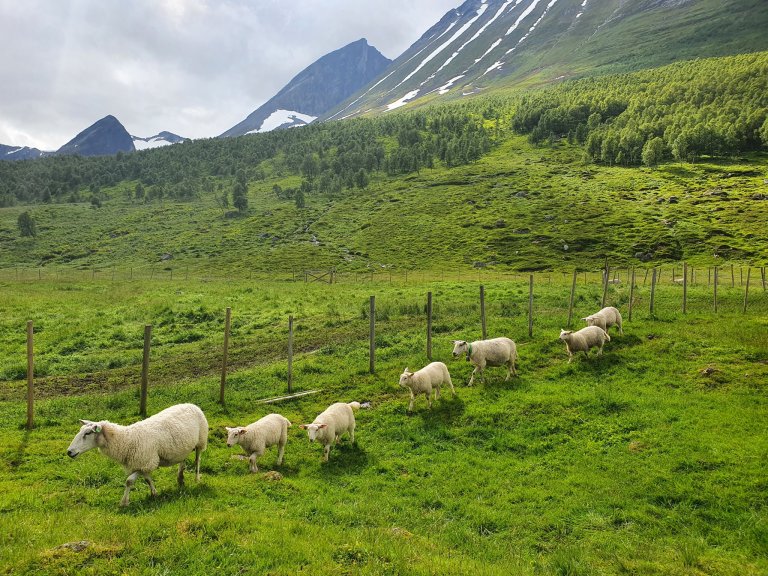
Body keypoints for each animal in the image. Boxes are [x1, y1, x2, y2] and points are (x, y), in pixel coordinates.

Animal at [66, 402, 208, 506]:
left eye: (88, 433)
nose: (69, 452)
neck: (126, 440)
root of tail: (191, 404)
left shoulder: (146, 462)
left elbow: (129, 481)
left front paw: (124, 502)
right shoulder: (142, 464)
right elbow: (148, 480)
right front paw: (154, 493)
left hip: (201, 441)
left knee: (198, 460)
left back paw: (196, 479)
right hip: (183, 447)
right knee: (182, 460)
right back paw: (180, 479)